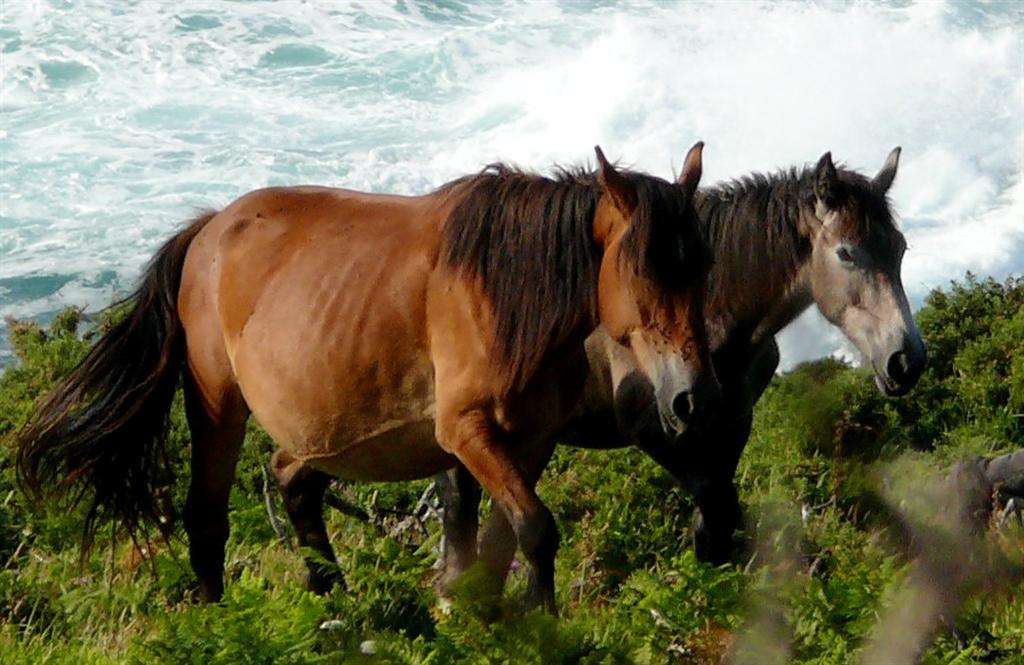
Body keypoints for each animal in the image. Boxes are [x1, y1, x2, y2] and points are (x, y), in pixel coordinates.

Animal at [16, 143, 719, 612]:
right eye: (645, 270)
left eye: (703, 267)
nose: (693, 398)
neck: (503, 290)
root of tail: (209, 229)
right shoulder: (466, 432)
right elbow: (536, 530)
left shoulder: (528, 440)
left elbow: (496, 540)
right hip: (217, 405)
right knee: (208, 515)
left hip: (326, 430)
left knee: (293, 482)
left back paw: (334, 604)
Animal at [433, 147, 928, 583]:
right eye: (846, 252)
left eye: (901, 248)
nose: (907, 360)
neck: (712, 311)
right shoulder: (657, 429)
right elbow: (715, 511)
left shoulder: (732, 423)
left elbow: (719, 519)